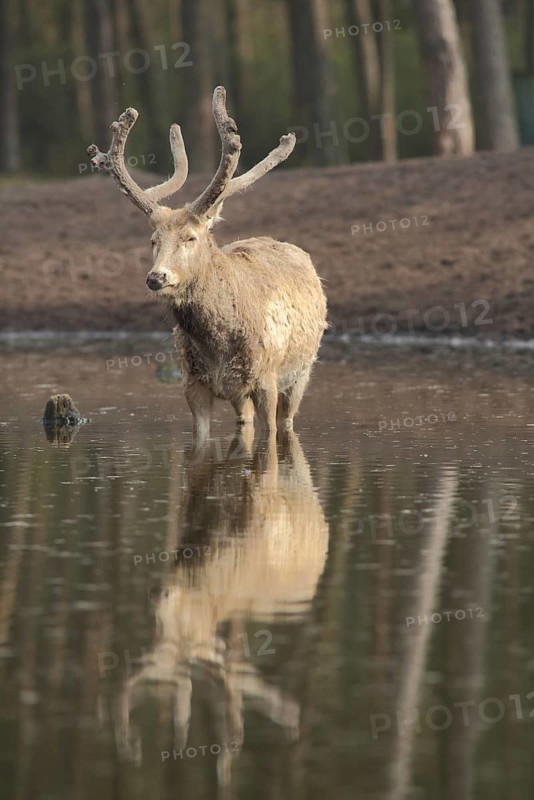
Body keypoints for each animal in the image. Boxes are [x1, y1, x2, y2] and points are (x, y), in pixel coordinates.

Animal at [88, 87, 327, 442]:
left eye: (190, 237)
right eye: (153, 240)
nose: (156, 277)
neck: (219, 346)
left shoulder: (266, 377)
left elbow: (269, 432)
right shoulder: (193, 382)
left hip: (302, 370)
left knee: (287, 419)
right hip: (239, 393)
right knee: (244, 420)